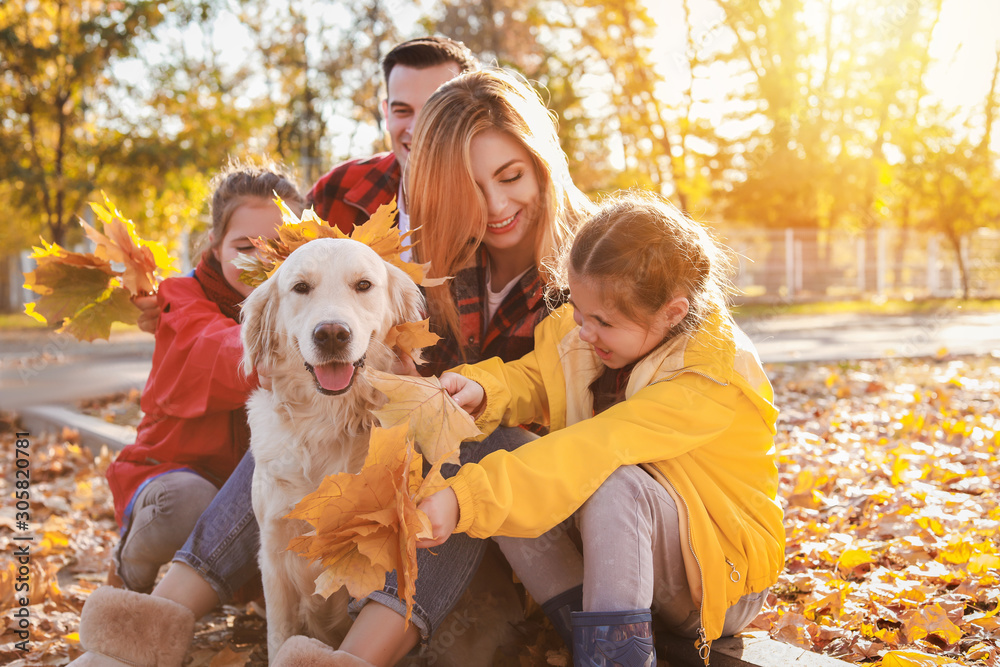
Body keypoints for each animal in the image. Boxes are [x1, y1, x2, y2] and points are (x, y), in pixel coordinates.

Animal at [241, 239, 524, 664]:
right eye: (301, 287)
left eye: (363, 285)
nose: (331, 333)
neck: (330, 422)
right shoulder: (274, 553)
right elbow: (279, 636)